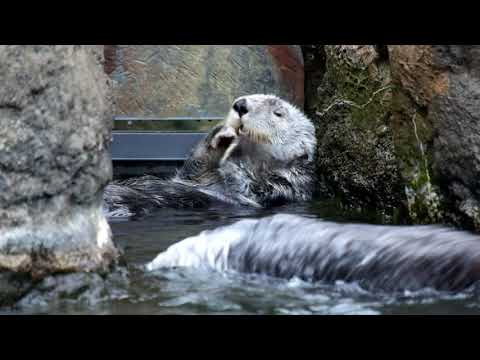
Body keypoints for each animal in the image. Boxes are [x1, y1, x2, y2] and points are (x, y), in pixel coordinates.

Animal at [103, 94, 316, 217]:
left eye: (278, 113)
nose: (241, 105)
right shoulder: (192, 179)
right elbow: (194, 169)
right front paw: (222, 134)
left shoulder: (269, 190)